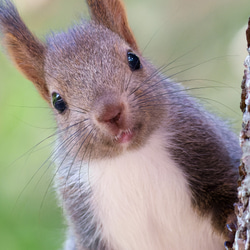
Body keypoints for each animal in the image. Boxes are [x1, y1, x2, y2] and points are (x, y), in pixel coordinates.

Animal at [0, 0, 241, 250]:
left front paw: (232, 221)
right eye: (58, 101)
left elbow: (226, 188)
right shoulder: (83, 218)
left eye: (133, 59)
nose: (110, 112)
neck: (132, 157)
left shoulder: (207, 145)